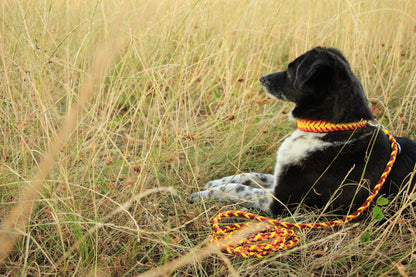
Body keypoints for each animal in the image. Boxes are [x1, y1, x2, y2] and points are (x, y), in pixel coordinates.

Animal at [191, 47, 416, 216]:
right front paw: (217, 182)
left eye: (292, 72)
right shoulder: (281, 177)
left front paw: (206, 193)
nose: (262, 78)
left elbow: (240, 189)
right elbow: (250, 175)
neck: (332, 131)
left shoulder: (280, 202)